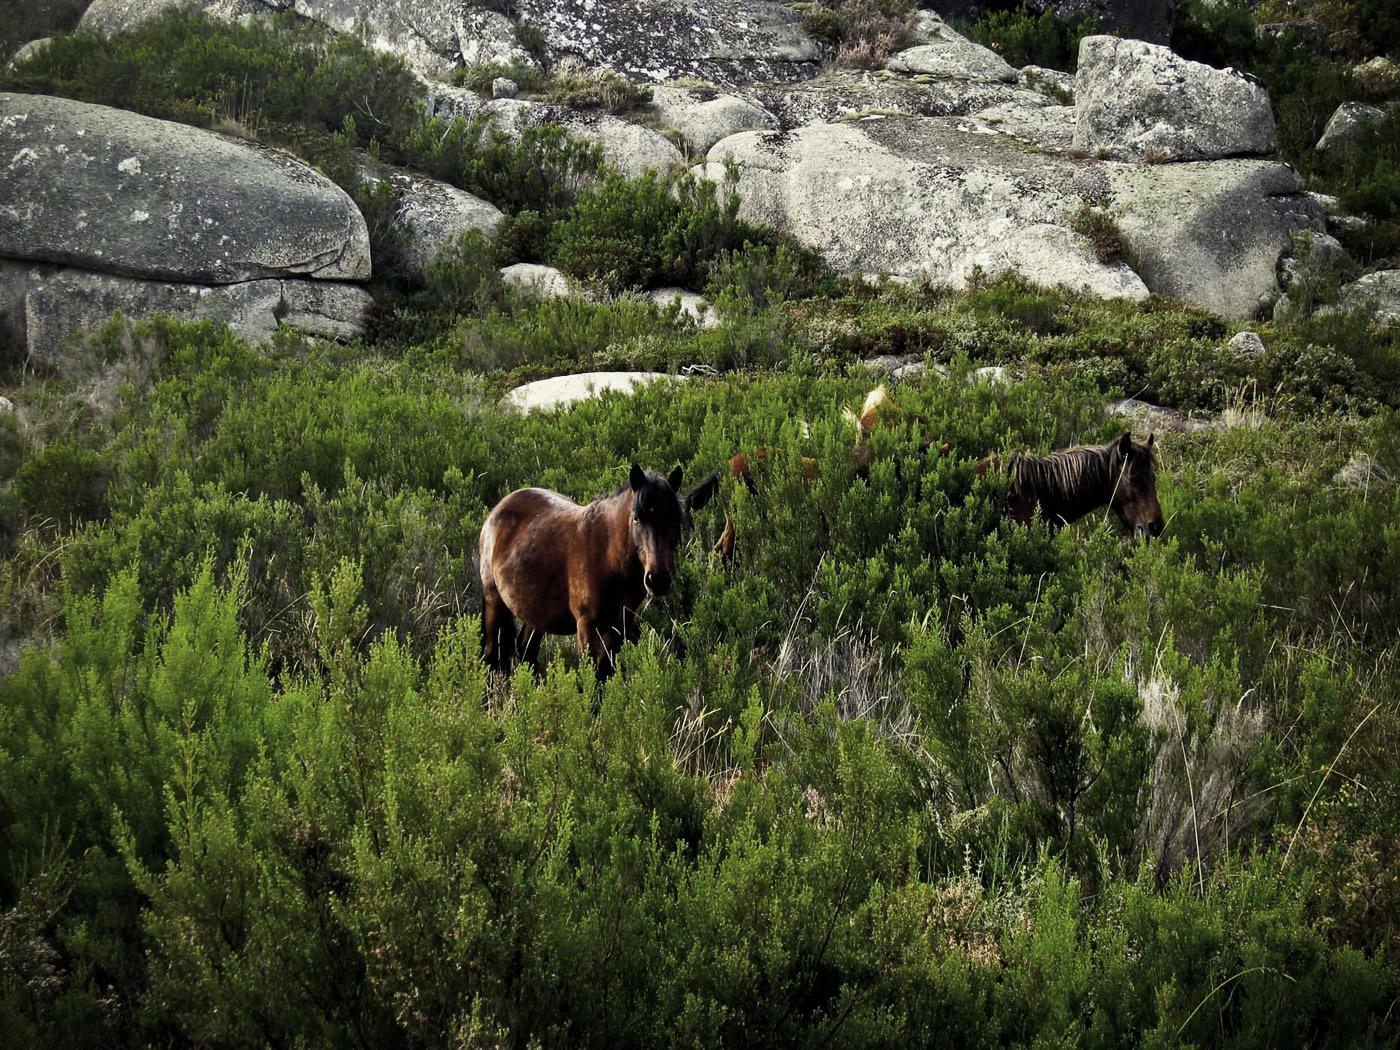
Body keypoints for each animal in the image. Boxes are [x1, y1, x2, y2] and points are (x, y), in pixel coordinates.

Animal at [481, 464, 722, 677]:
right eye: (637, 518)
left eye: (674, 520)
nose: (658, 579)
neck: (607, 559)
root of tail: (500, 508)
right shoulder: (587, 628)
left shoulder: (617, 627)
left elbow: (606, 675)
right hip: (494, 600)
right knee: (491, 654)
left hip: (535, 613)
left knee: (526, 653)